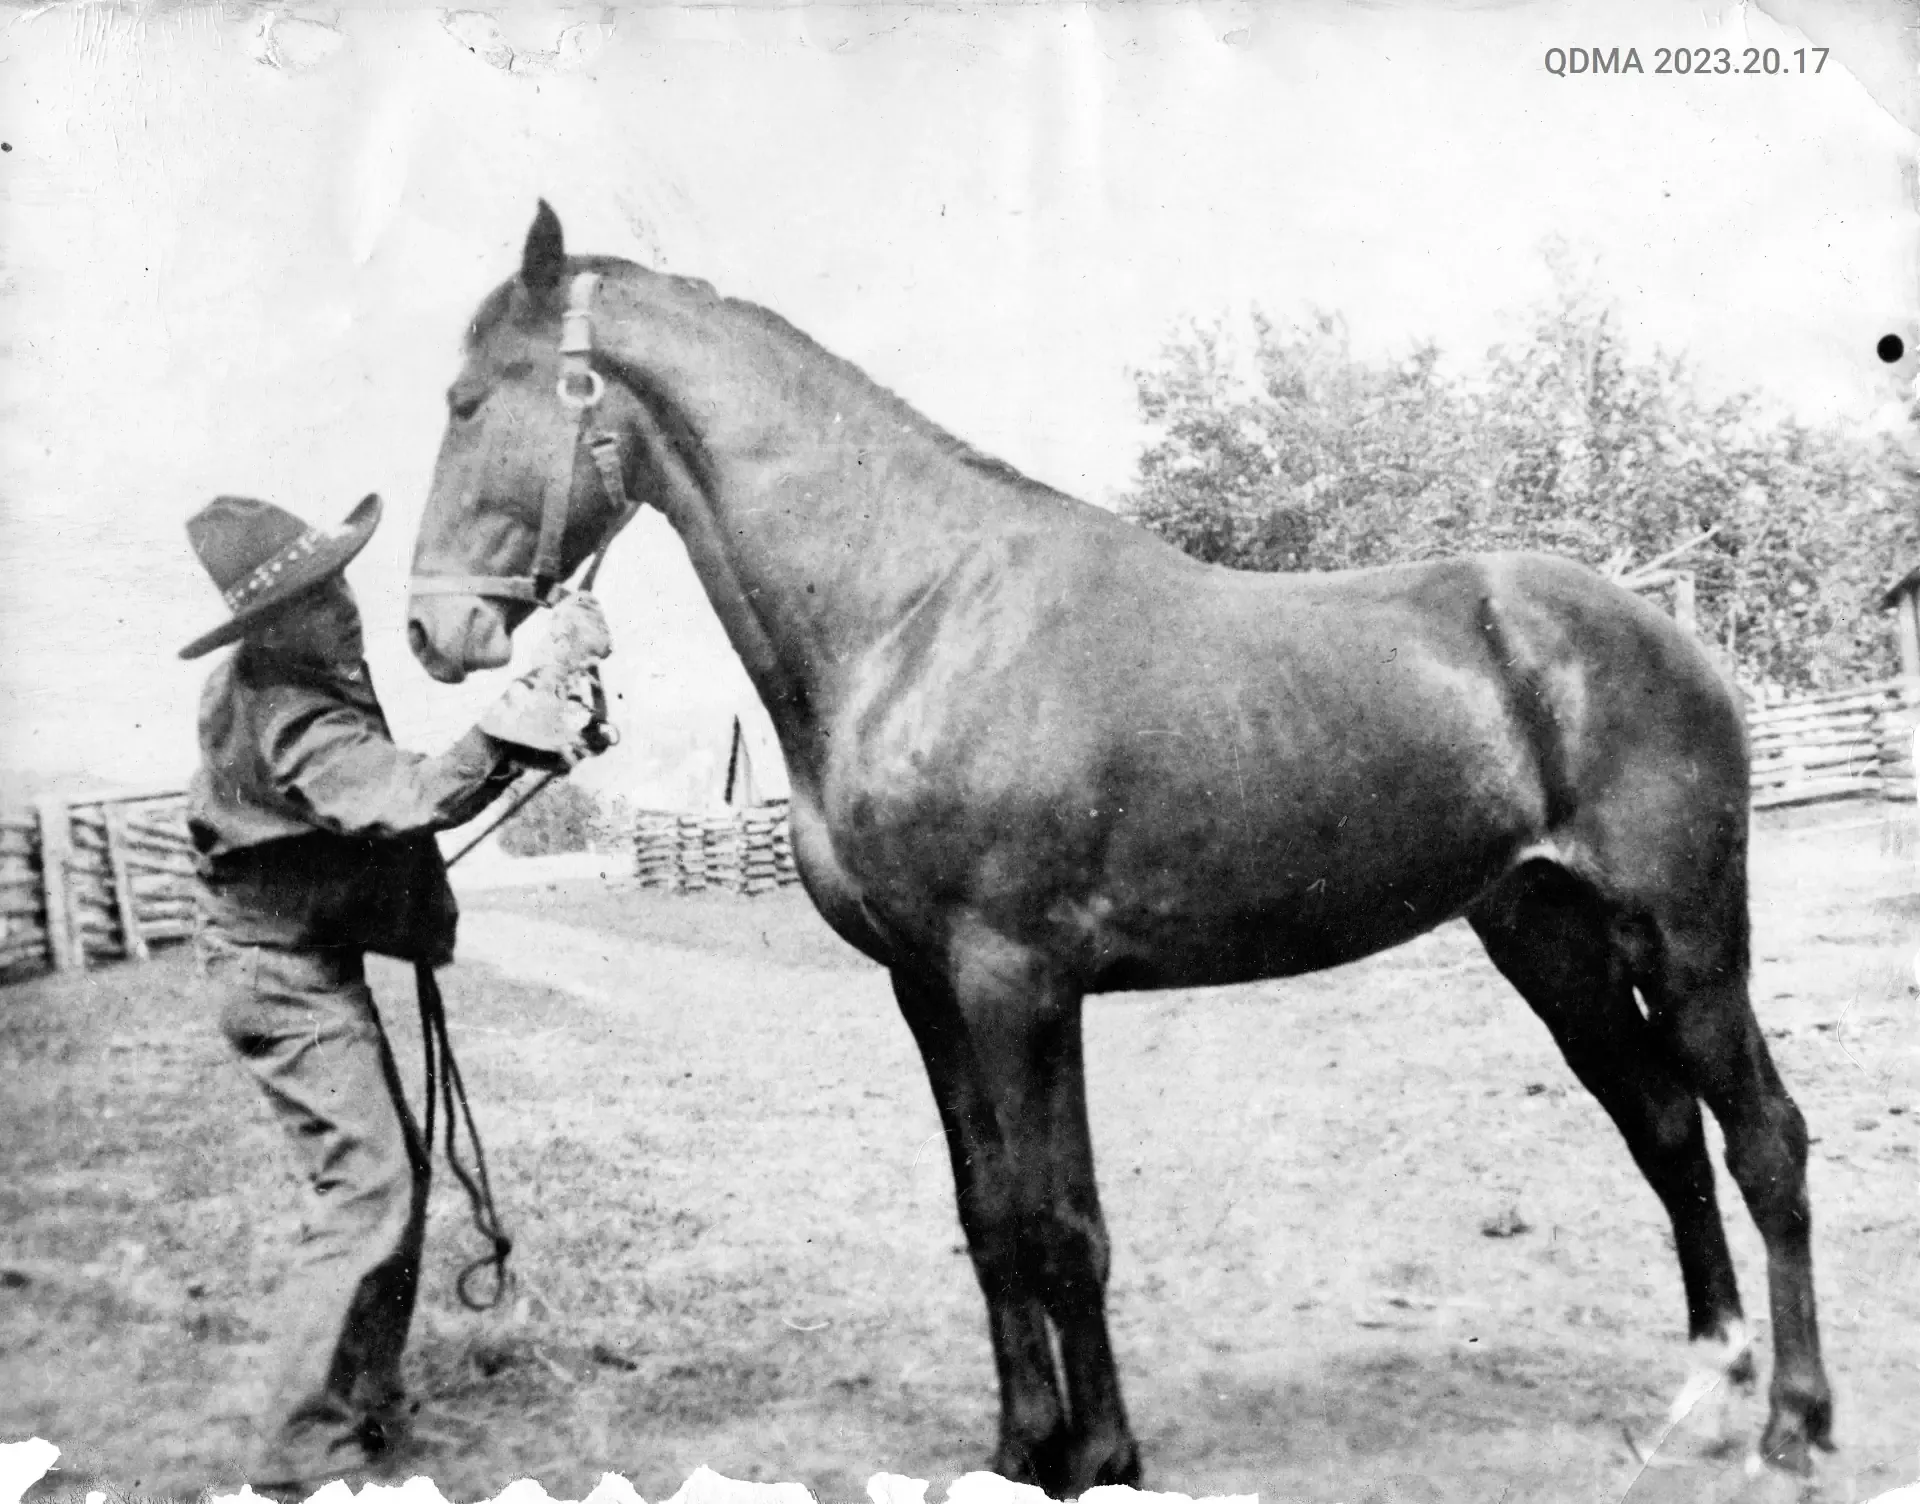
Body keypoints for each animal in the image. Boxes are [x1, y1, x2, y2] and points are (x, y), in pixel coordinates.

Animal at [405, 202, 1827, 1490]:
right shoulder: (929, 990)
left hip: (1687, 937)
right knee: (1661, 1123)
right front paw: (1020, 1446)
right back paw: (1704, 1397)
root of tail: (1661, 631)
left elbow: (1061, 1223)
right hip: (1549, 938)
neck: (913, 615)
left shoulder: (1019, 983)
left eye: (469, 401)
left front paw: (1099, 1456)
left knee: (1763, 1136)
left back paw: (1794, 1425)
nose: (433, 634)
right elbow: (991, 1218)